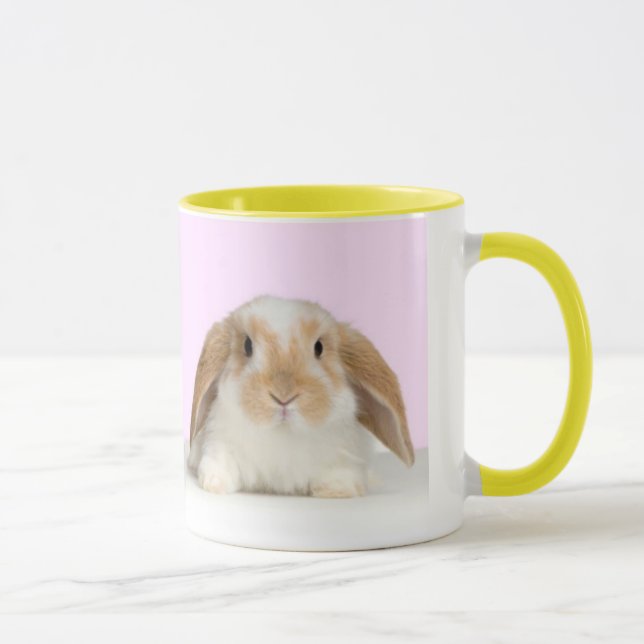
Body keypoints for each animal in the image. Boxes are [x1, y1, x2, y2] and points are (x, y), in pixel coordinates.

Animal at [188, 295, 414, 498]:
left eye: (319, 347)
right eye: (247, 346)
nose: (283, 395)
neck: (284, 434)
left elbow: (339, 474)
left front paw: (337, 491)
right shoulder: (221, 442)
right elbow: (220, 465)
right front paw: (214, 485)